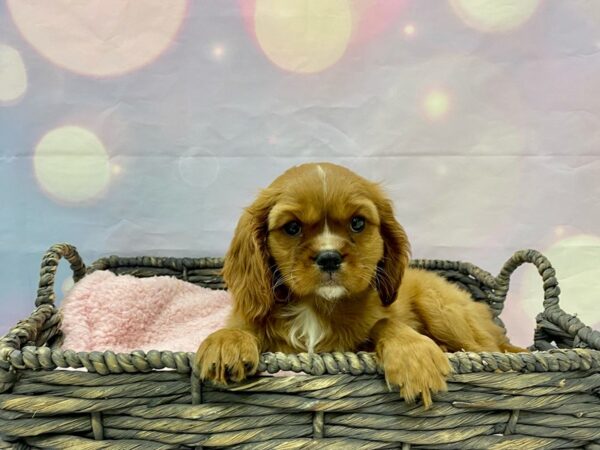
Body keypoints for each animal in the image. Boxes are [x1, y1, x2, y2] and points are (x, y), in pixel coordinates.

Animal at [196, 163, 520, 406]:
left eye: (357, 223)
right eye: (292, 227)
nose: (329, 257)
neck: (316, 307)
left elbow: (384, 323)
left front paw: (413, 356)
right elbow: (243, 327)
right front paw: (226, 342)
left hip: (441, 308)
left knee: (491, 349)